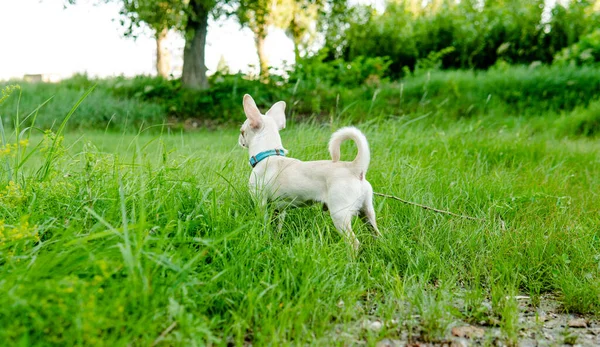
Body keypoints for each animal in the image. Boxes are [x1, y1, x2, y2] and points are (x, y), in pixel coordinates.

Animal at [239, 94, 380, 251]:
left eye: (242, 131)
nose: (240, 140)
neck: (269, 155)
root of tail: (355, 168)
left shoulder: (260, 202)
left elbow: (262, 223)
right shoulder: (279, 209)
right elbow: (277, 227)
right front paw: (274, 240)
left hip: (340, 214)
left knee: (354, 243)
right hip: (367, 213)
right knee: (377, 234)